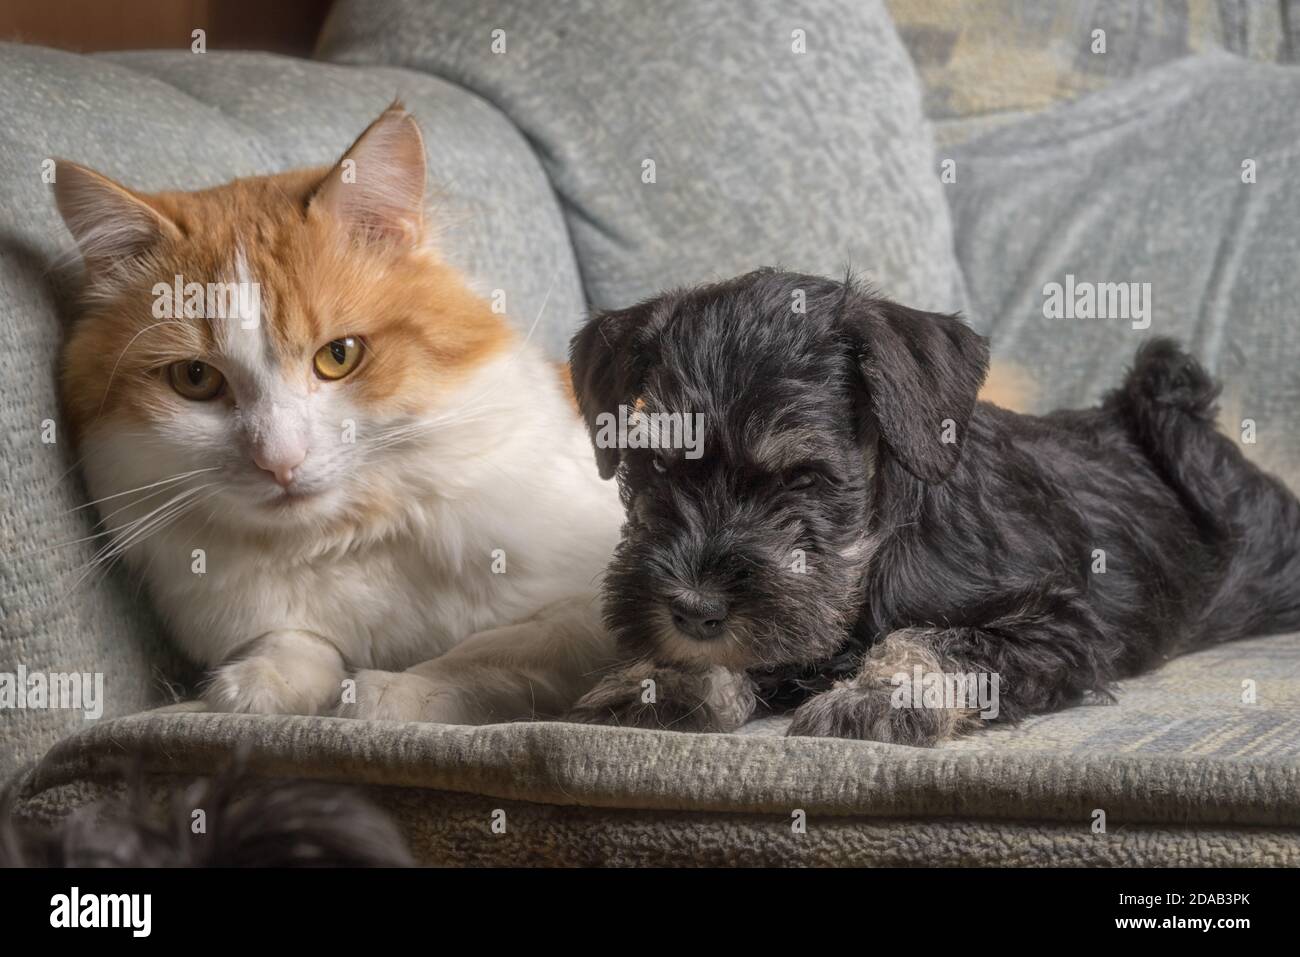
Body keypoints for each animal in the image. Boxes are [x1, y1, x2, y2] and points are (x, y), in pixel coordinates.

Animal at [58, 102, 626, 717]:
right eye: (196, 379)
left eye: (338, 356)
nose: (279, 462)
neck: (345, 541)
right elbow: (298, 641)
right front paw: (257, 686)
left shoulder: (594, 599)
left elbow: (496, 647)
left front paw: (390, 694)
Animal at [564, 269, 1300, 748]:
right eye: (656, 466)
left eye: (803, 478)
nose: (693, 609)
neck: (874, 549)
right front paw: (665, 677)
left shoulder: (1057, 625)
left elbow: (936, 637)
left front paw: (878, 694)